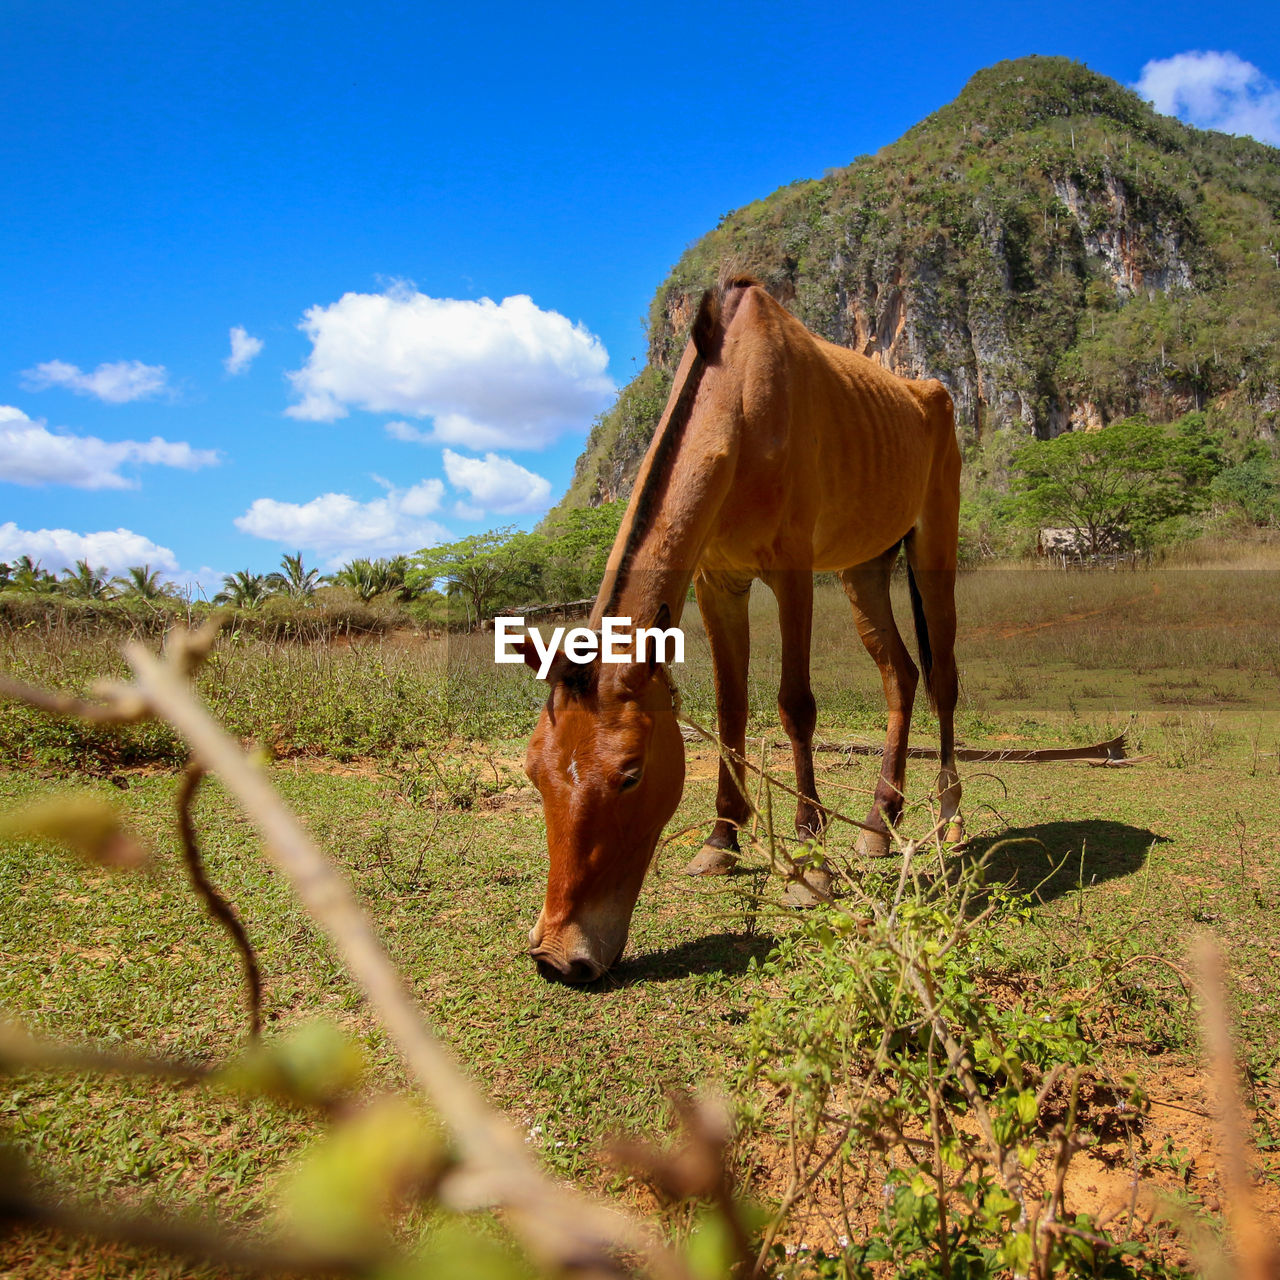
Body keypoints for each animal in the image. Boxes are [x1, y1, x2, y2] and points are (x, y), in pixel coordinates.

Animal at [517, 277, 962, 977]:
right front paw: (721, 839)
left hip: (934, 545)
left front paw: (809, 866)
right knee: (901, 674)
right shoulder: (716, 583)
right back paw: (876, 823)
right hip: (864, 568)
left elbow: (795, 707)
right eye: (535, 772)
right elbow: (731, 708)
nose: (560, 956)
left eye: (631, 773)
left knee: (943, 677)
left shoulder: (793, 573)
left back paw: (948, 821)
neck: (741, 399)